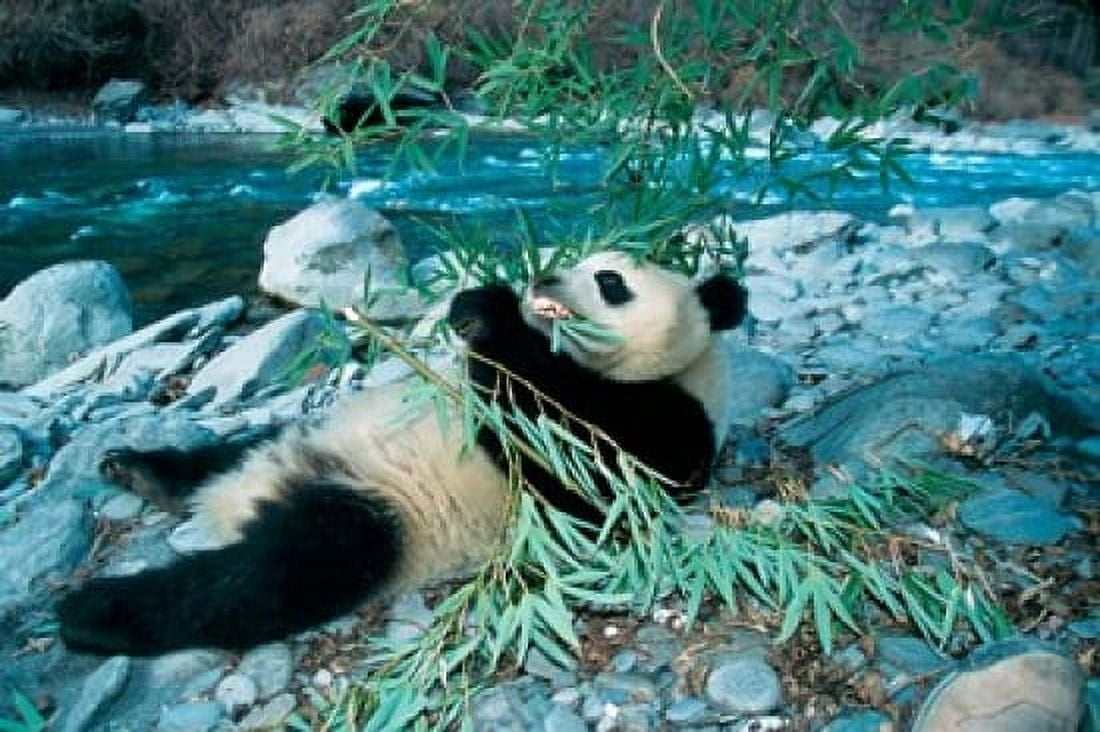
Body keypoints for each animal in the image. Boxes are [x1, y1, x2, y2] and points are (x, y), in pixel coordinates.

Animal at [57, 250, 747, 656]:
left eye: (610, 282)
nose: (542, 279)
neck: (684, 368)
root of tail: (242, 502)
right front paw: (473, 305)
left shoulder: (661, 429)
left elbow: (559, 441)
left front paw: (489, 313)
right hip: (299, 435)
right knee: (226, 454)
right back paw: (143, 470)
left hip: (378, 517)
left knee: (265, 580)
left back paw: (96, 612)